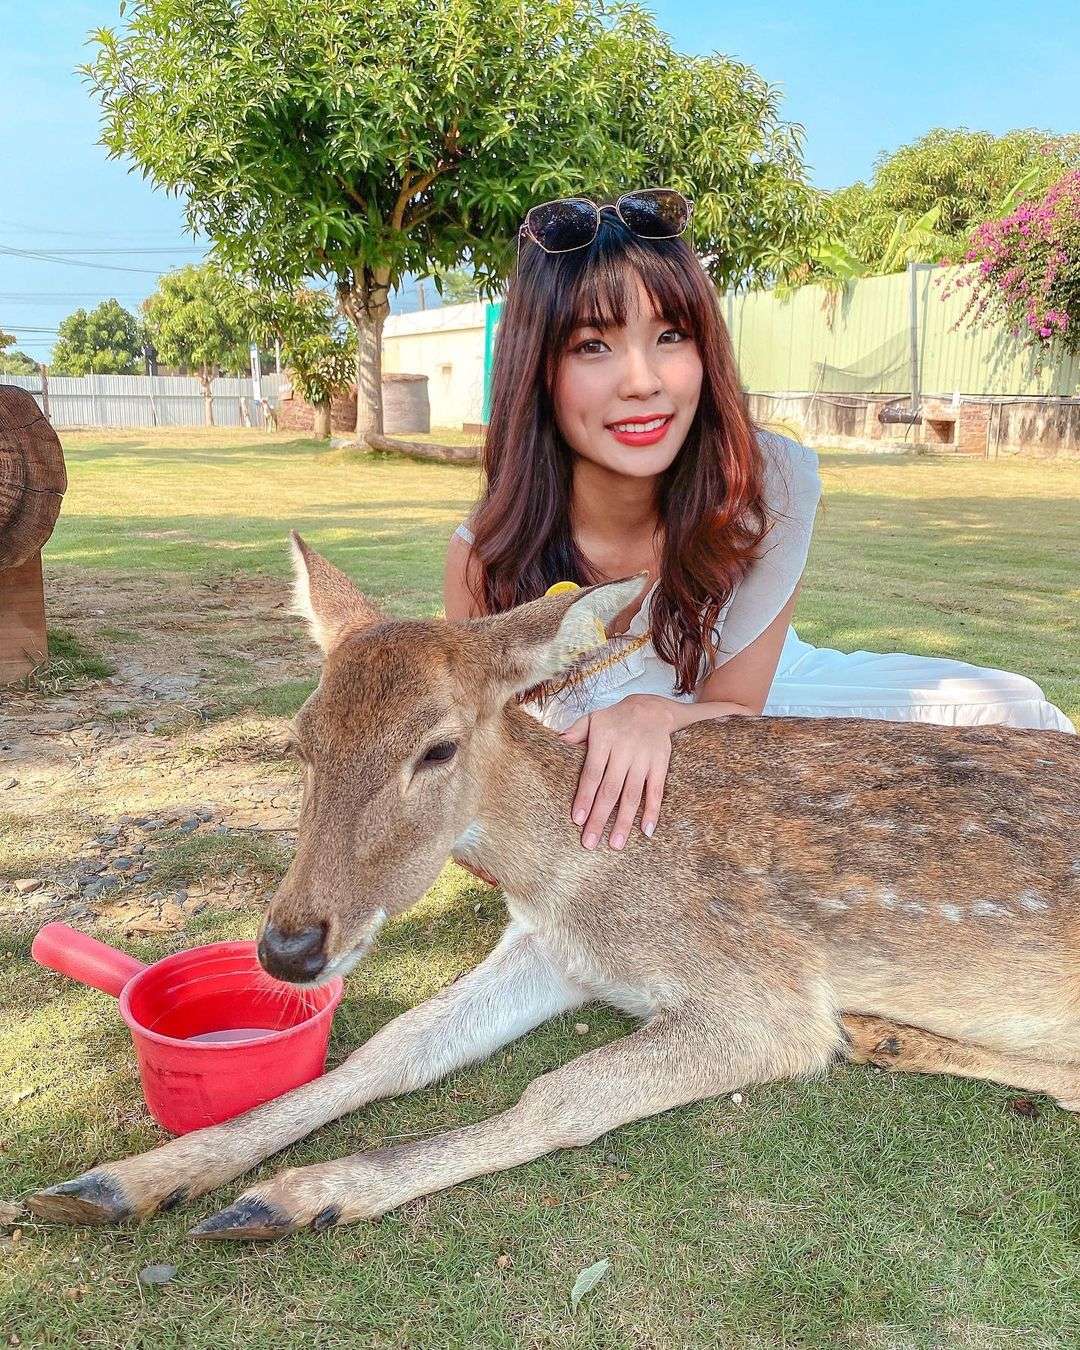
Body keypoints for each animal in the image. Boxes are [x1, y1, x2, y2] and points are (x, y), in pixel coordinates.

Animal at [27, 534, 1079, 1241]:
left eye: (437, 747)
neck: (573, 879)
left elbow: (559, 1099)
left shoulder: (764, 1001)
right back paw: (889, 1037)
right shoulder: (548, 950)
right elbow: (396, 1046)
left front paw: (295, 1198)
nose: (289, 947)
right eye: (300, 738)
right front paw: (127, 1180)